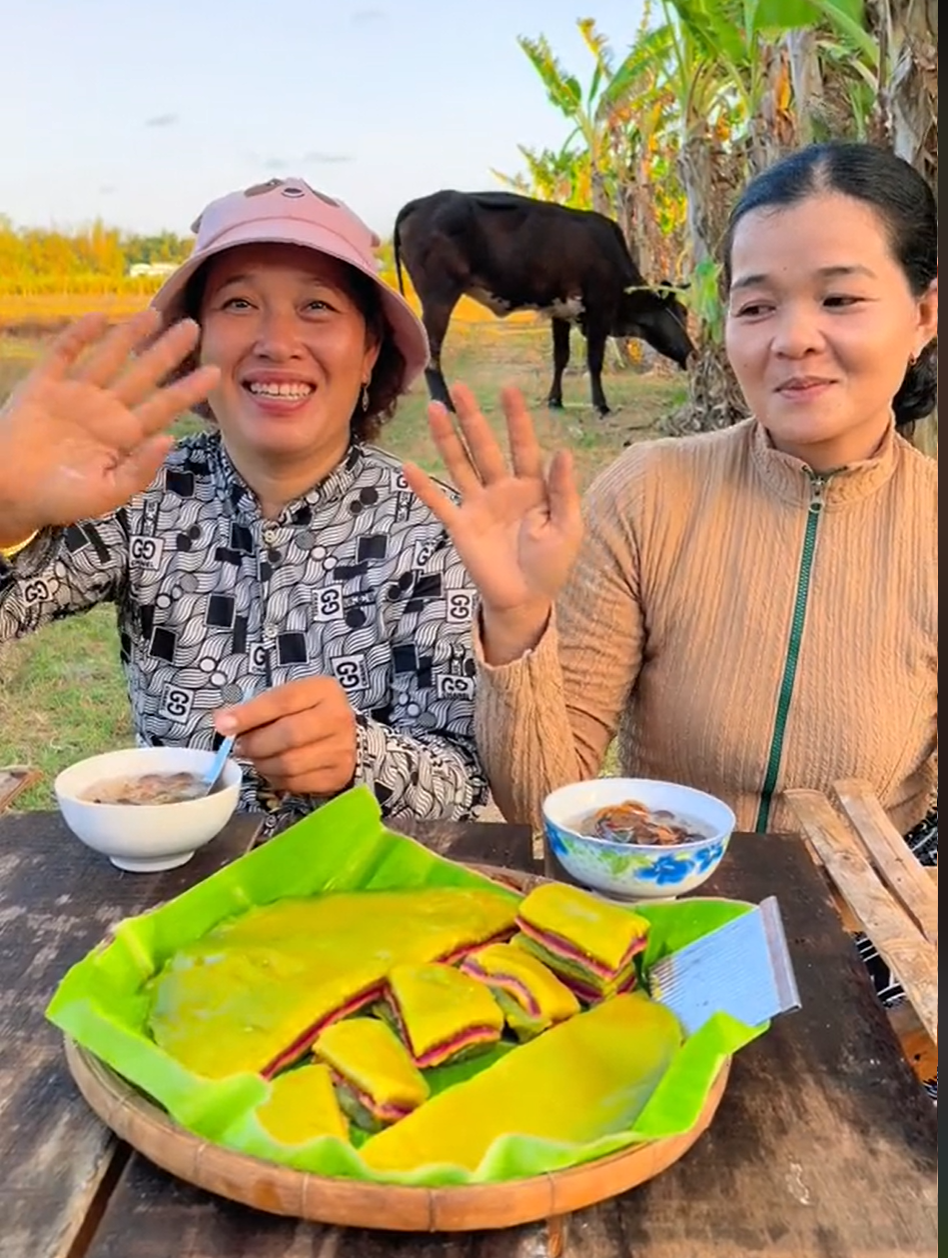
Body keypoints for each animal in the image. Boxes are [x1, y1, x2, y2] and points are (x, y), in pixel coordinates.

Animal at [392, 188, 694, 412]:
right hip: (439, 298)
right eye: (679, 312)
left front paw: (555, 400)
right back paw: (444, 403)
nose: (693, 351)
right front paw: (600, 405)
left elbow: (560, 358)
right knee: (432, 350)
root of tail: (420, 202)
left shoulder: (560, 311)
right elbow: (594, 360)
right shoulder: (599, 310)